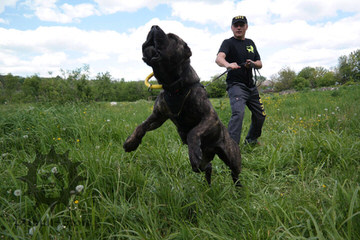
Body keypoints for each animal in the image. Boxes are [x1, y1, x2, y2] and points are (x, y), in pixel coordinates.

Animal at [123, 26, 242, 187]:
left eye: (172, 37)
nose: (153, 26)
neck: (173, 86)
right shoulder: (158, 116)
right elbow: (141, 126)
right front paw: (131, 142)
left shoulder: (209, 116)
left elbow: (193, 131)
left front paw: (193, 152)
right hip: (204, 161)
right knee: (207, 166)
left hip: (232, 159)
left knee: (234, 173)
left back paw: (238, 188)